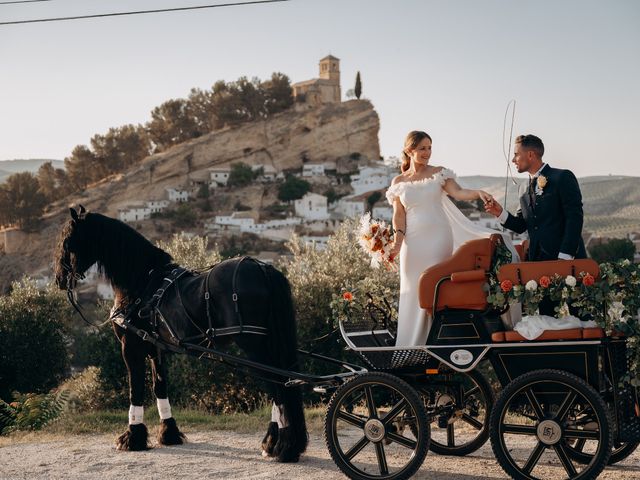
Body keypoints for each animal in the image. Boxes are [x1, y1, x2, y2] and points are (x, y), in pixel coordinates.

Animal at [52, 205, 308, 462]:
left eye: (67, 241)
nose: (59, 280)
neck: (143, 282)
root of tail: (263, 269)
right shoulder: (155, 348)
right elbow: (159, 387)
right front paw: (169, 433)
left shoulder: (131, 347)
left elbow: (136, 390)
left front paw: (132, 437)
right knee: (282, 385)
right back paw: (274, 443)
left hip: (254, 346)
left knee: (279, 386)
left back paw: (284, 447)